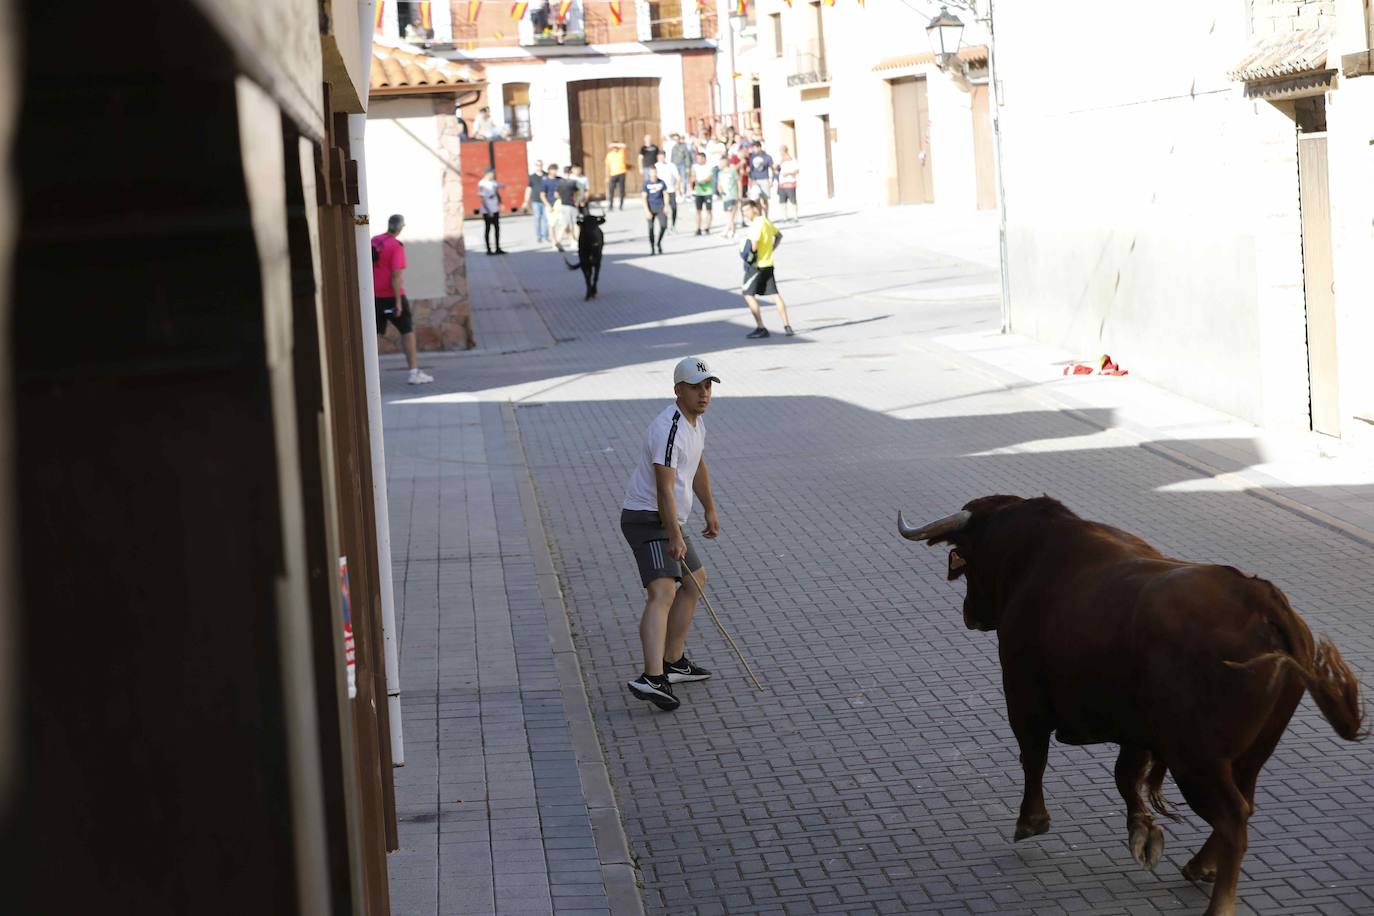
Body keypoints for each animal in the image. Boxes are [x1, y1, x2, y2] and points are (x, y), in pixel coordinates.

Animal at [901, 494, 1363, 916]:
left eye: (966, 562)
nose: (970, 614)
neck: (1032, 555)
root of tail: (1263, 601)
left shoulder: (1022, 695)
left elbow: (1034, 757)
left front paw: (1031, 821)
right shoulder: (1137, 731)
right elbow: (1126, 777)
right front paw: (1143, 830)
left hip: (1195, 759)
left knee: (1233, 818)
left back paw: (1218, 902)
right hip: (1249, 754)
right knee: (1244, 804)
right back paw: (1200, 866)